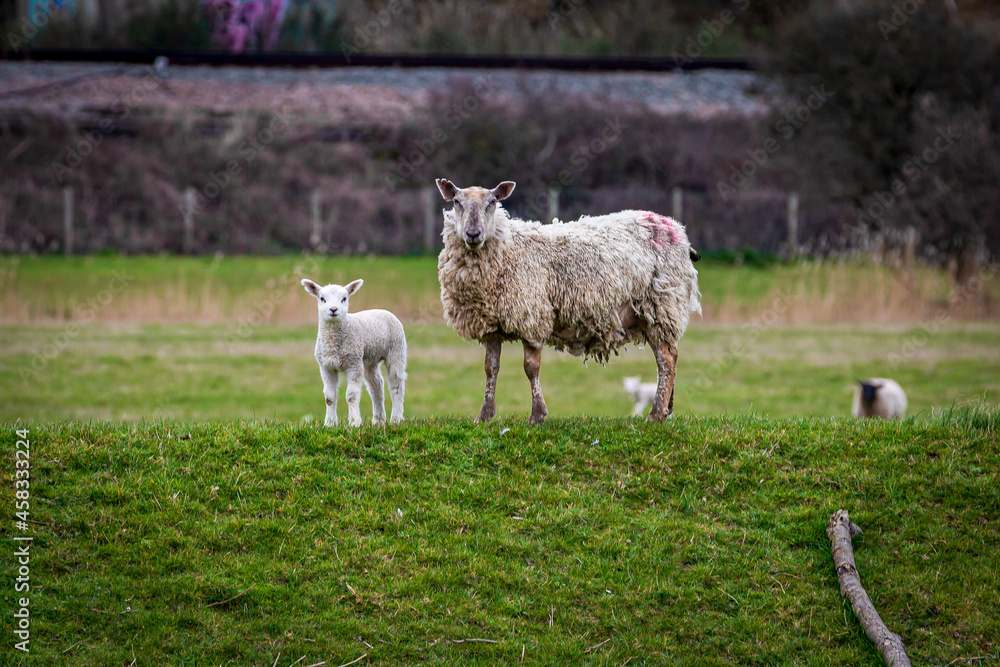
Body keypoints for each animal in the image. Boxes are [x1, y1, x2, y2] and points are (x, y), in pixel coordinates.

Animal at [301, 278, 407, 427]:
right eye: (322, 298)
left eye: (344, 298)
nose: (333, 309)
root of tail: (383, 309)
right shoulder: (326, 367)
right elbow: (329, 397)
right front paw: (329, 423)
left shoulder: (354, 364)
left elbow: (351, 395)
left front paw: (354, 422)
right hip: (370, 358)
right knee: (376, 385)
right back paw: (378, 420)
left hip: (396, 349)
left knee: (396, 384)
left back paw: (396, 419)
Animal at [435, 178, 701, 424]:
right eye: (457, 202)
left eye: (492, 202)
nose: (473, 234)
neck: (509, 249)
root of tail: (676, 228)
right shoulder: (491, 324)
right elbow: (491, 368)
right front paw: (485, 416)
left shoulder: (533, 316)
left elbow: (531, 368)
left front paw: (537, 415)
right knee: (669, 358)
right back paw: (666, 411)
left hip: (663, 304)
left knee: (666, 361)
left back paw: (655, 415)